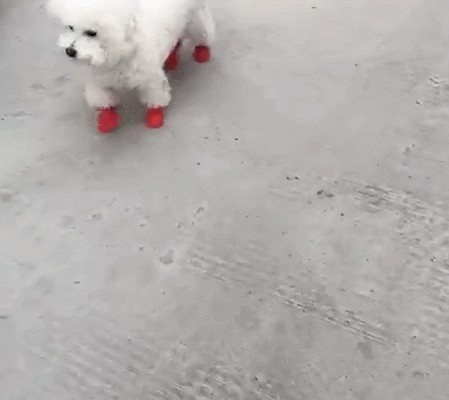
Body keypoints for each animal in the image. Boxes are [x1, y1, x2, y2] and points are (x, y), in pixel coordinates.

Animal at [46, 0, 214, 133]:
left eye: (92, 33)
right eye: (70, 27)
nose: (69, 51)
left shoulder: (150, 80)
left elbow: (155, 98)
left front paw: (155, 116)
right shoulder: (99, 81)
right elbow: (104, 101)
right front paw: (107, 120)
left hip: (194, 21)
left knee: (203, 34)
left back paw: (202, 52)